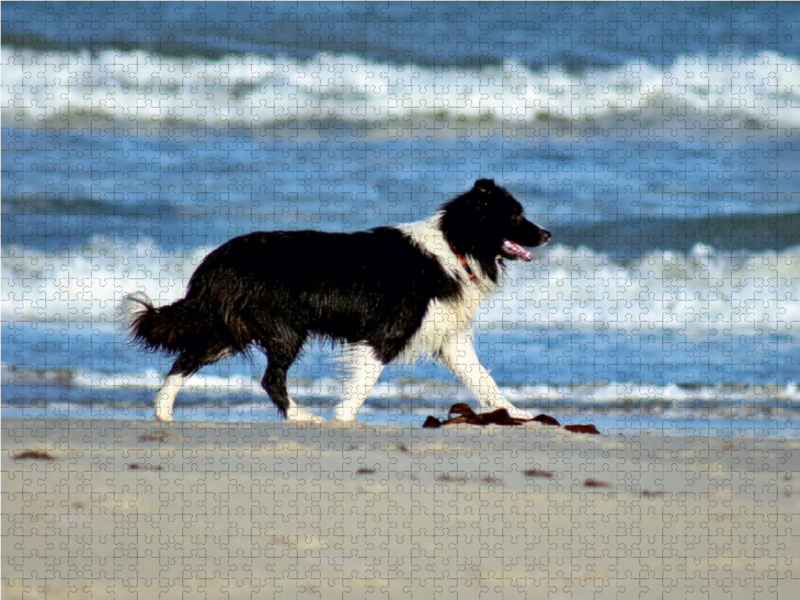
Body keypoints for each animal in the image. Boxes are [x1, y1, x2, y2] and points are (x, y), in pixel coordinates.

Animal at [122, 178, 552, 422]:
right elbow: (364, 382)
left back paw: (163, 412)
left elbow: (484, 379)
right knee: (269, 378)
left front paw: (516, 413)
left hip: (230, 330)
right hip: (284, 329)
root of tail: (213, 263)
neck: (455, 244)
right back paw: (302, 417)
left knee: (185, 360)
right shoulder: (386, 333)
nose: (548, 234)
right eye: (515, 216)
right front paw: (344, 419)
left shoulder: (449, 337)